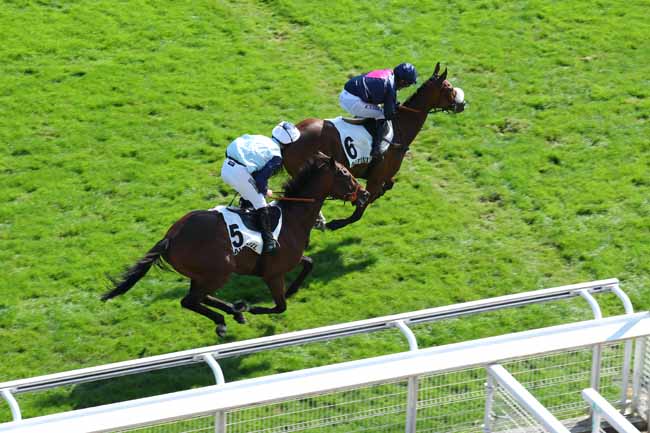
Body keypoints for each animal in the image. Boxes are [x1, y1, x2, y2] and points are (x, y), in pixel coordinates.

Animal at [101, 155, 364, 338]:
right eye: (344, 173)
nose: (363, 193)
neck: (292, 216)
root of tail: (170, 238)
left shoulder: (289, 260)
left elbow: (309, 263)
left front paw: (291, 290)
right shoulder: (273, 273)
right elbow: (280, 306)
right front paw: (257, 308)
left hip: (205, 273)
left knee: (200, 297)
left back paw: (235, 310)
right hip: (221, 270)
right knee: (190, 301)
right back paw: (224, 320)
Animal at [280, 62, 464, 230]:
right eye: (449, 88)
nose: (462, 104)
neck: (400, 129)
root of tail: (288, 138)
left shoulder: (383, 175)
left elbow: (388, 186)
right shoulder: (376, 179)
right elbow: (361, 209)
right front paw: (337, 222)